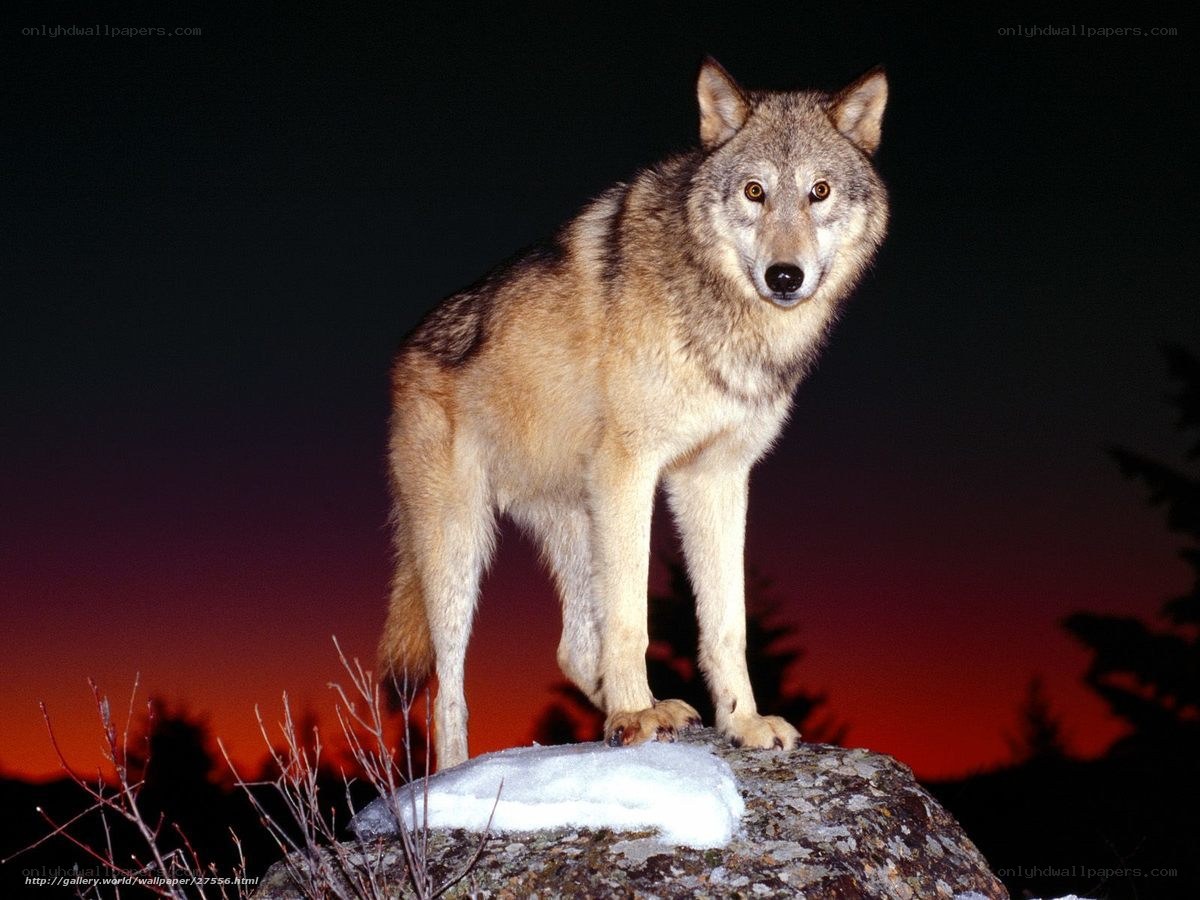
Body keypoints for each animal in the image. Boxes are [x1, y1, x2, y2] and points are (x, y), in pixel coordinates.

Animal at [380, 58, 888, 770]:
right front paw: (631, 714)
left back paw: (656, 712)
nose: (784, 277)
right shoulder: (633, 469)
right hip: (460, 545)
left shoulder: (716, 478)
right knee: (448, 692)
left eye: (819, 191)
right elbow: (631, 618)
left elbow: (726, 623)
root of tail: (404, 354)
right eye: (755, 191)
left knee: (571, 648)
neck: (720, 311)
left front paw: (742, 722)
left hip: (576, 519)